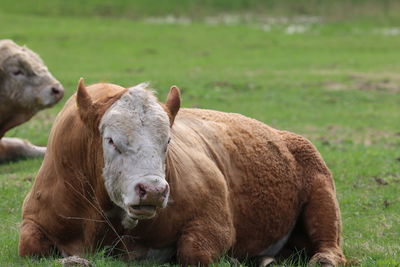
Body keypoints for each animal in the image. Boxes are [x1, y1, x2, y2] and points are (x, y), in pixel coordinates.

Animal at [18, 79, 346, 267]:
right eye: (110, 140)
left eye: (168, 141)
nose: (152, 190)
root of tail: (287, 137)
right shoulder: (33, 221)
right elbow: (29, 248)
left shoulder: (214, 225)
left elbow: (193, 252)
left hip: (321, 192)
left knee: (329, 242)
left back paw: (323, 259)